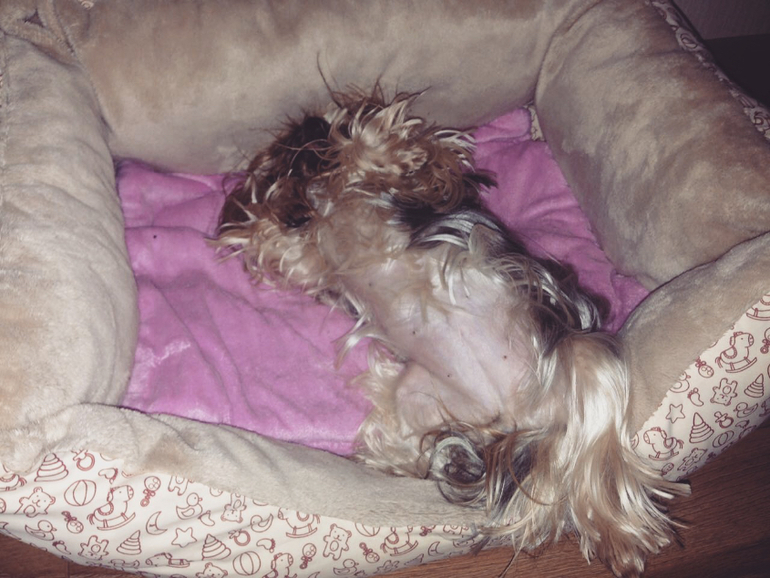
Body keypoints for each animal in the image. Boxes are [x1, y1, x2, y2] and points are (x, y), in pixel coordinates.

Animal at [215, 89, 687, 576]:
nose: (310, 129)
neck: (332, 202)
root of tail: (518, 414)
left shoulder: (416, 170)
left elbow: (401, 143)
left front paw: (383, 152)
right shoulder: (307, 259)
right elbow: (284, 245)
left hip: (581, 350)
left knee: (590, 456)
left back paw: (620, 534)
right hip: (420, 395)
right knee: (541, 471)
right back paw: (392, 465)